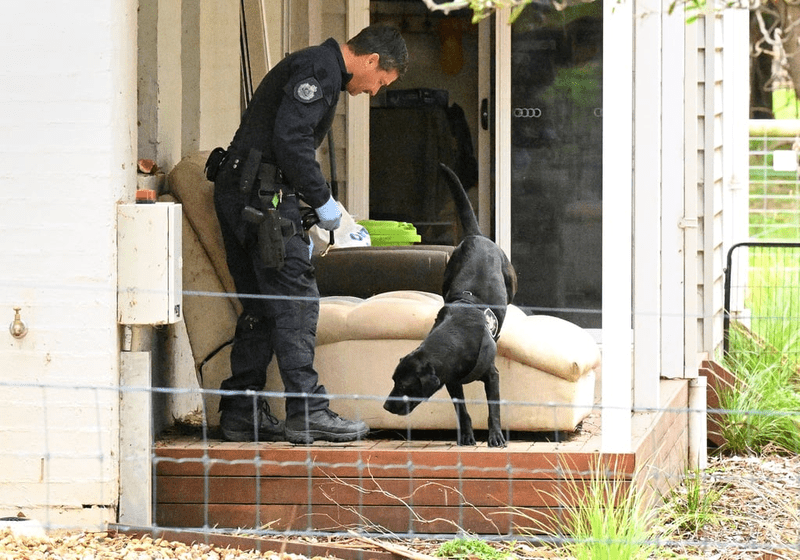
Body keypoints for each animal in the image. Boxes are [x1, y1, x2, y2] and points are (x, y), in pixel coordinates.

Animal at [382, 162, 520, 446]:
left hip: (511, 282)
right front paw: (466, 436)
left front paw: (496, 436)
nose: (386, 406)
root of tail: (477, 236)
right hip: (446, 278)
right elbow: (462, 411)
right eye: (393, 380)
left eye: (405, 386)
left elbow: (494, 408)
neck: (457, 339)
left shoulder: (492, 375)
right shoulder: (451, 382)